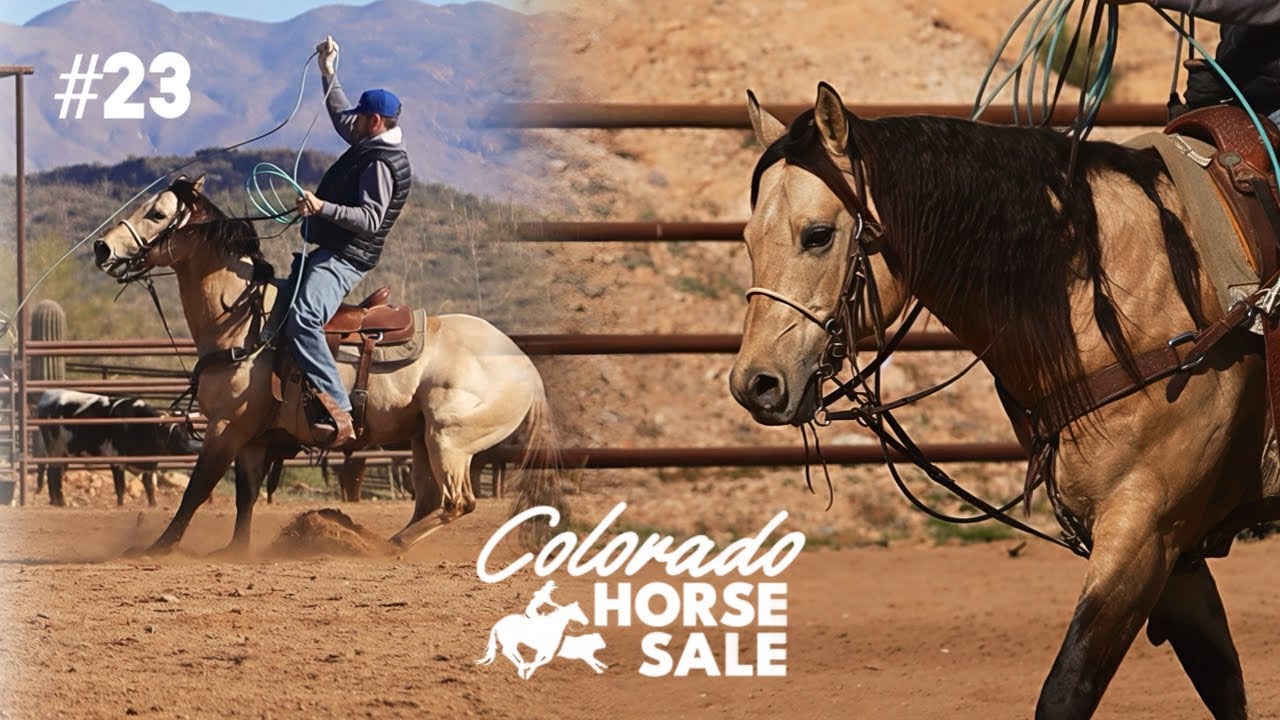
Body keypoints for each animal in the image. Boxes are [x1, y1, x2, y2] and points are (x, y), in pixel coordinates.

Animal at [92, 174, 560, 554]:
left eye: (157, 213)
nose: (101, 247)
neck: (245, 323)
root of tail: (526, 367)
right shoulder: (254, 438)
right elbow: (246, 495)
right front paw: (235, 550)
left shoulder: (227, 426)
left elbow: (197, 488)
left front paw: (158, 547)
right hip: (421, 438)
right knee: (429, 502)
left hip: (449, 439)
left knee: (456, 502)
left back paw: (381, 546)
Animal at [729, 84, 1280, 720]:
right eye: (747, 240)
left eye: (817, 235)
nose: (754, 383)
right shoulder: (1172, 552)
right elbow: (1222, 681)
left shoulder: (1147, 526)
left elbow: (1066, 689)